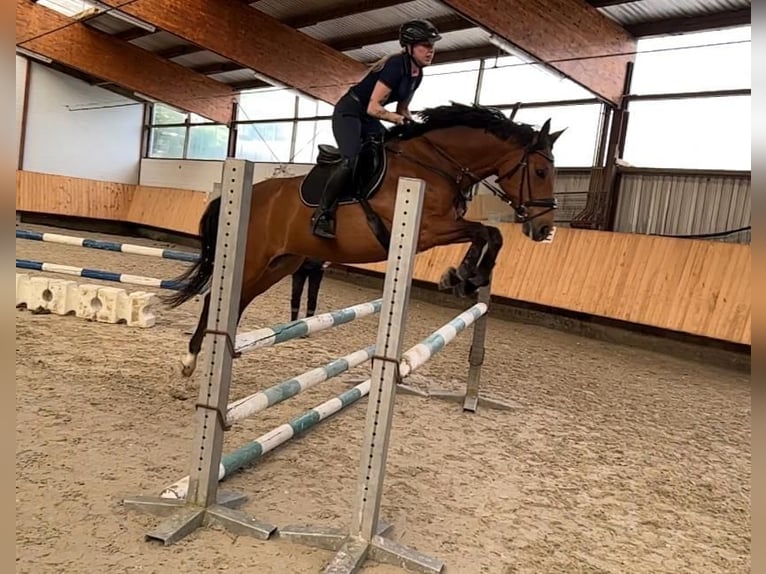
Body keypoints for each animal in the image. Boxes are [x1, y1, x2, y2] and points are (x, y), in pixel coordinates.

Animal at [165, 102, 564, 377]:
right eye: (540, 171)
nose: (544, 229)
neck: (434, 164)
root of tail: (243, 194)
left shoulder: (440, 228)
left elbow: (490, 234)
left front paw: (465, 277)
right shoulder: (429, 229)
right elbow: (485, 231)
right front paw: (464, 275)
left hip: (281, 263)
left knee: (239, 300)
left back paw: (225, 351)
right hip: (252, 258)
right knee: (216, 296)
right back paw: (190, 359)